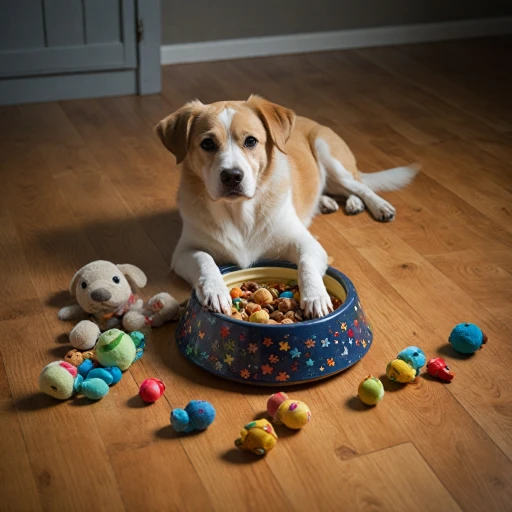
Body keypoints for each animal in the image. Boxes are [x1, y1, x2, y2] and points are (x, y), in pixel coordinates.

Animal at [157, 94, 420, 318]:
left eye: (251, 141)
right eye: (208, 144)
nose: (232, 176)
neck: (240, 212)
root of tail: (308, 120)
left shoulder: (307, 243)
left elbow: (306, 262)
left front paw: (315, 297)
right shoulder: (184, 252)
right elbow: (205, 261)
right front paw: (216, 290)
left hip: (330, 156)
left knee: (359, 185)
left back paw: (377, 206)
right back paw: (331, 202)